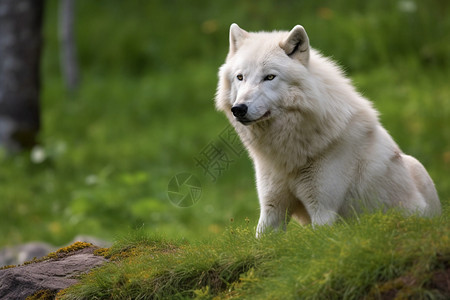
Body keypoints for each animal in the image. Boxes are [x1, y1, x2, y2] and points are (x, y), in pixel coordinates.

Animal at [214, 23, 440, 236]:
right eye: (240, 77)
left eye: (269, 77)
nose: (239, 109)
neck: (289, 154)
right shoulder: (272, 210)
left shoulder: (322, 211)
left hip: (416, 166)